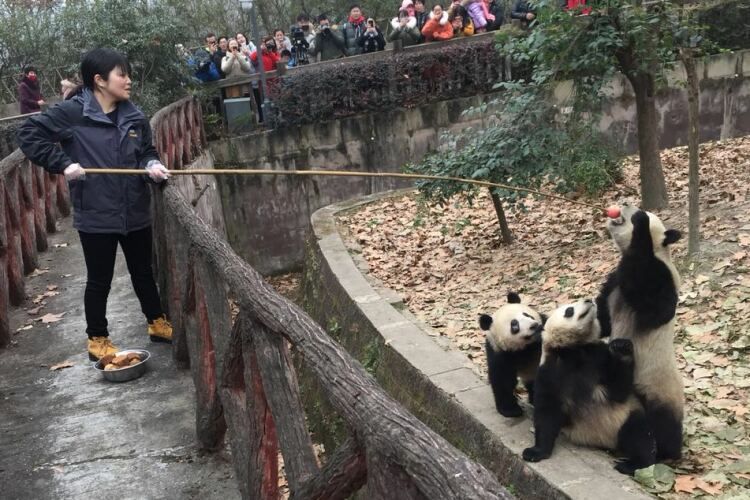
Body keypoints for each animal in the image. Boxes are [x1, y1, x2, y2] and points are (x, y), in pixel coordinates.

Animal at [524, 298, 656, 474]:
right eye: (569, 310)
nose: (588, 300)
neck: (574, 349)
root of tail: (603, 443)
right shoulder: (550, 371)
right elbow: (547, 410)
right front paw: (535, 452)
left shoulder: (598, 358)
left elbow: (619, 391)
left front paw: (622, 348)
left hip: (624, 418)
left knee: (639, 435)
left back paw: (632, 464)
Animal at [600, 203, 688, 460]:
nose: (624, 204)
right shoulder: (615, 281)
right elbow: (603, 318)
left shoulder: (662, 275)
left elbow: (659, 311)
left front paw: (640, 223)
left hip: (658, 388)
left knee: (664, 424)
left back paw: (667, 452)